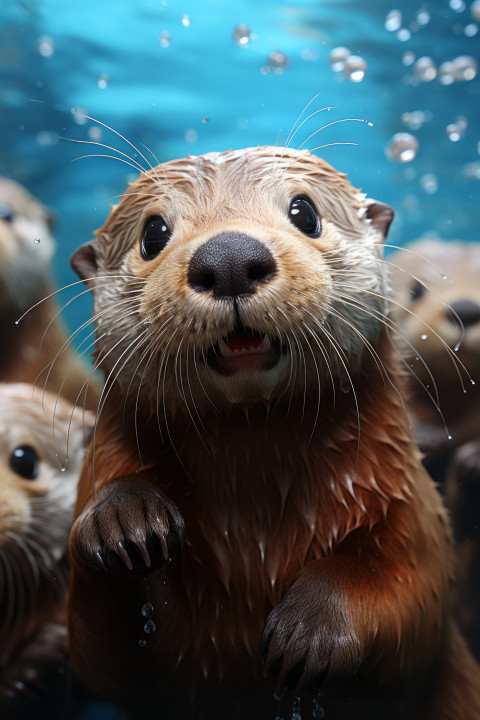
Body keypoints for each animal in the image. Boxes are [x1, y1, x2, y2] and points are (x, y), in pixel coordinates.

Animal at [67, 147, 480, 719]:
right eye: (153, 233)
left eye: (305, 212)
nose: (229, 257)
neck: (256, 531)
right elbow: (99, 659)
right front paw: (123, 520)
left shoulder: (410, 505)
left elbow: (411, 593)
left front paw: (311, 628)